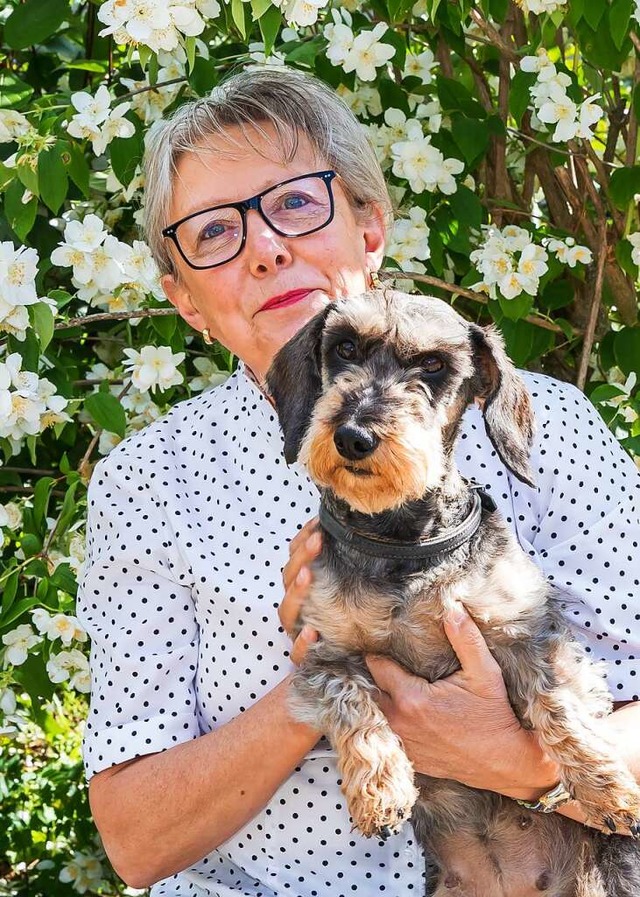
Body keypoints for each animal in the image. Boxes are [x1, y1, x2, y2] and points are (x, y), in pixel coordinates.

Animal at [264, 288, 640, 896]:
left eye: (434, 365)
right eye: (344, 348)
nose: (354, 435)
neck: (401, 541)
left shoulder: (522, 631)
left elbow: (559, 704)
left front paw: (604, 788)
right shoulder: (324, 653)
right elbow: (352, 706)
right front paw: (380, 791)